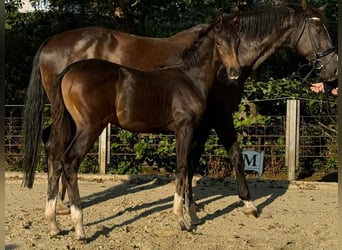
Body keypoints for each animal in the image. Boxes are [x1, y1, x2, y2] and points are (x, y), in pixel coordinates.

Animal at [23, 15, 240, 240]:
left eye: (238, 41)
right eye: (219, 43)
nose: (235, 72)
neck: (189, 79)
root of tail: (68, 70)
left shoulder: (193, 132)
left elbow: (188, 168)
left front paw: (193, 216)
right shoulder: (184, 129)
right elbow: (182, 168)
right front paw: (182, 220)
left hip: (69, 125)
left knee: (56, 157)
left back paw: (54, 224)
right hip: (89, 127)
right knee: (69, 161)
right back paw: (80, 229)